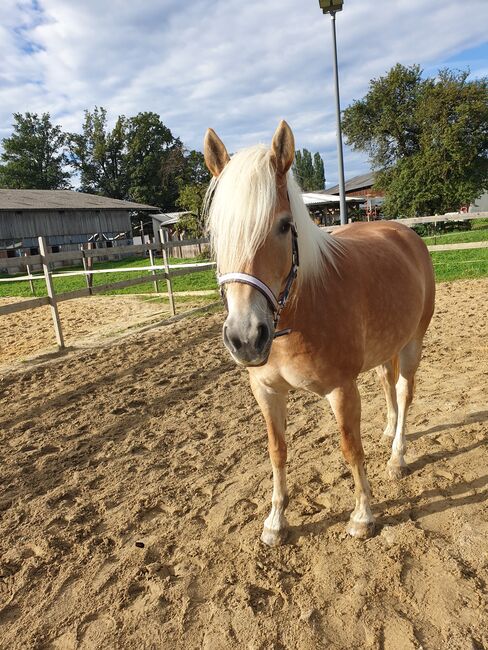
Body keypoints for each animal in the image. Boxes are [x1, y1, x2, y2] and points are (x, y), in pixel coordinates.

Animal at [202, 119, 434, 544]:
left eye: (284, 225)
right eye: (217, 232)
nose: (246, 338)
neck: (300, 310)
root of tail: (405, 233)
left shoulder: (341, 389)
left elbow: (350, 448)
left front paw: (362, 516)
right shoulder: (266, 391)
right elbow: (277, 451)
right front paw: (276, 521)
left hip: (413, 343)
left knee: (404, 391)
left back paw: (397, 456)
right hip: (386, 348)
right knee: (387, 383)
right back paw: (388, 430)